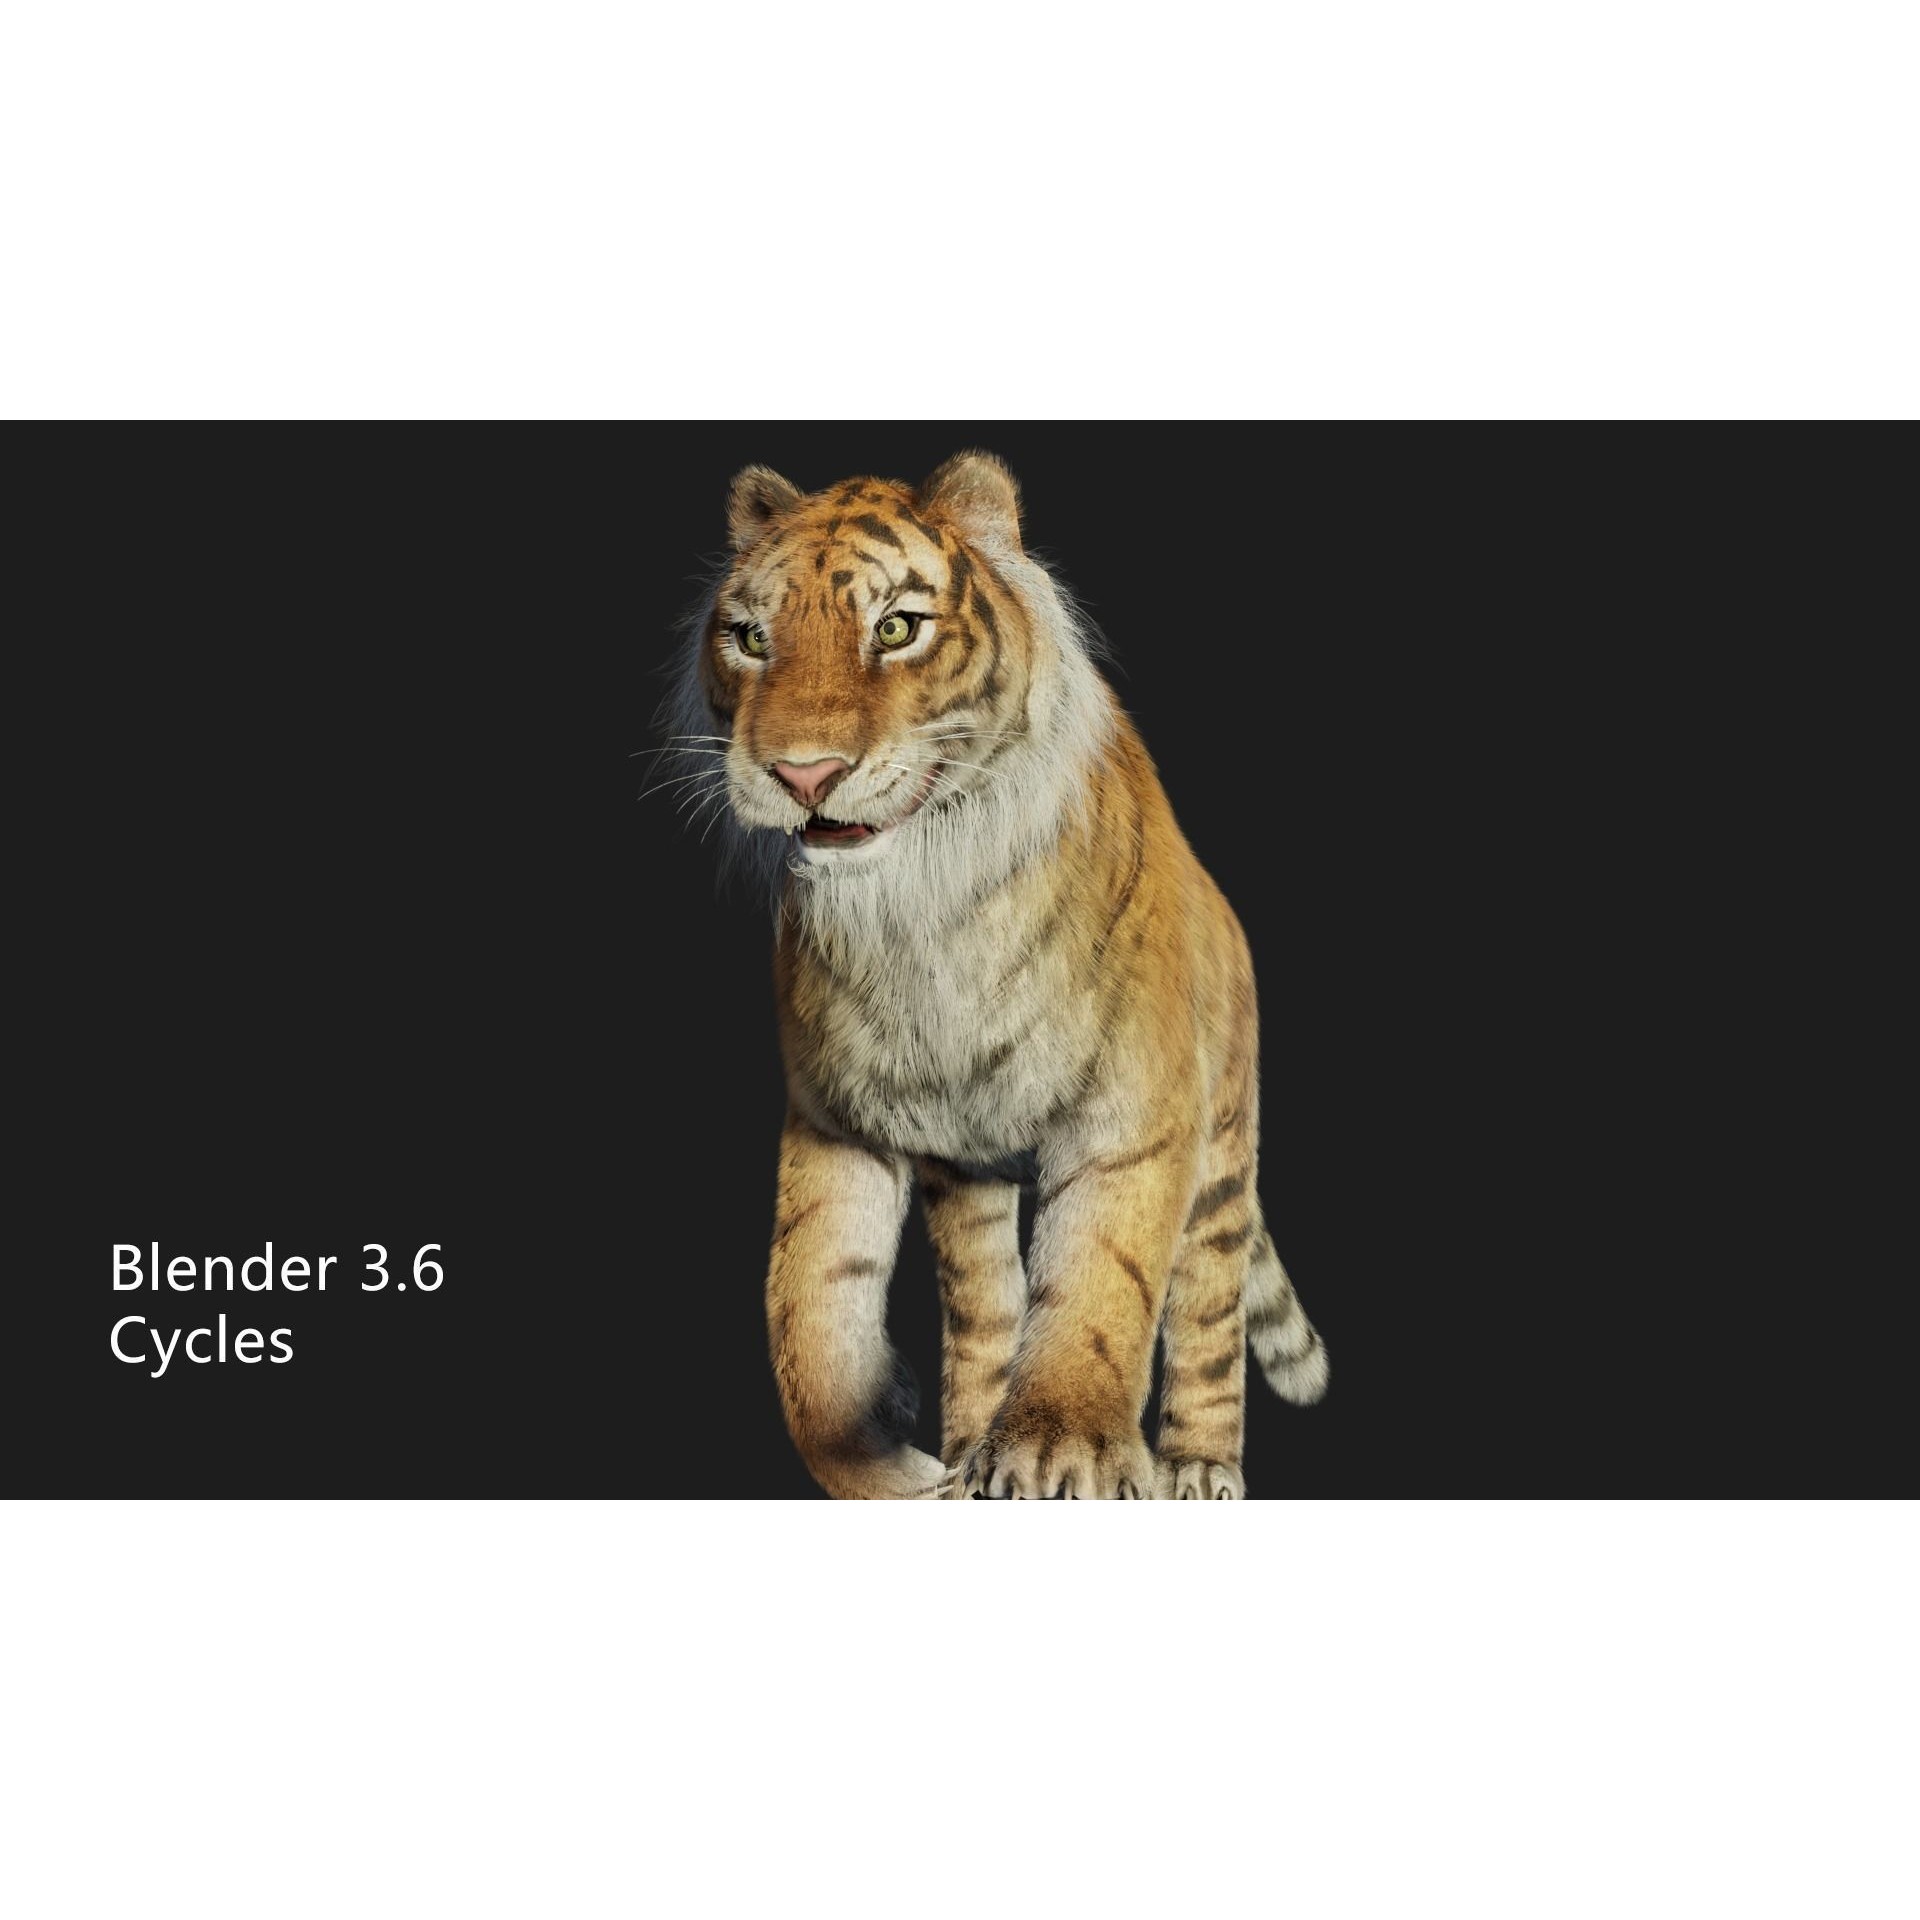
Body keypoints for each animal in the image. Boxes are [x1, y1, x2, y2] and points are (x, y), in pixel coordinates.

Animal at [659, 450, 1328, 1498]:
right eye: (752, 639)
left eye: (896, 627)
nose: (803, 776)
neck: (918, 916)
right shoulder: (851, 1116)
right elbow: (811, 1301)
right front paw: (896, 1460)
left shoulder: (1133, 1118)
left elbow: (1099, 1280)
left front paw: (1061, 1446)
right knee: (983, 1308)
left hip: (1221, 1146)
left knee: (1211, 1305)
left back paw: (1199, 1467)